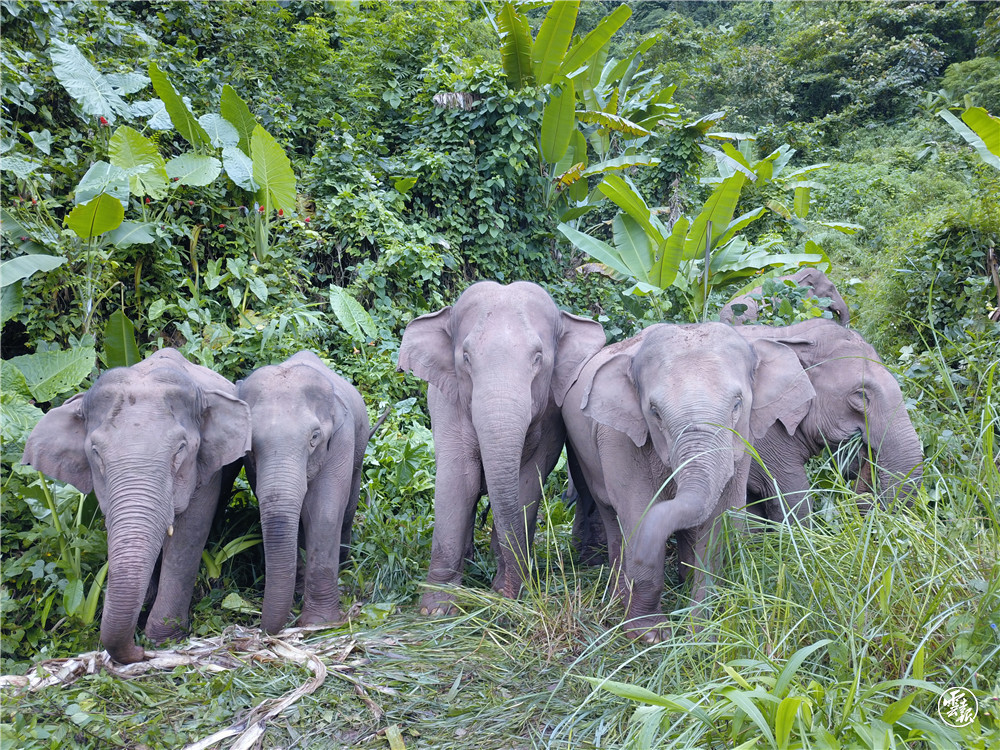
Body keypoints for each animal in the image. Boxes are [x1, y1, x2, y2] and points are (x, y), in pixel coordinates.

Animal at [21, 349, 251, 664]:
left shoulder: (208, 469)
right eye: (95, 453)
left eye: (181, 450)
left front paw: (163, 639)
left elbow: (190, 533)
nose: (140, 651)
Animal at [237, 351, 370, 634]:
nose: (262, 628)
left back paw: (343, 568)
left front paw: (319, 623)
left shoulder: (341, 439)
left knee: (348, 508)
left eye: (314, 437)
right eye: (251, 443)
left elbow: (325, 513)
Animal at [397, 280, 606, 613]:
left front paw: (504, 590)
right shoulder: (447, 401)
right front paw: (436, 609)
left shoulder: (551, 412)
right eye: (466, 357)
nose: (510, 594)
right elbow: (460, 479)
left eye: (538, 357)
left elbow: (526, 481)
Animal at [562, 323, 815, 641]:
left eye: (737, 404)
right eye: (654, 411)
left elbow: (721, 521)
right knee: (612, 517)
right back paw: (621, 596)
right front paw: (651, 635)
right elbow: (638, 511)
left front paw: (704, 633)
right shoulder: (618, 439)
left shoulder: (743, 443)